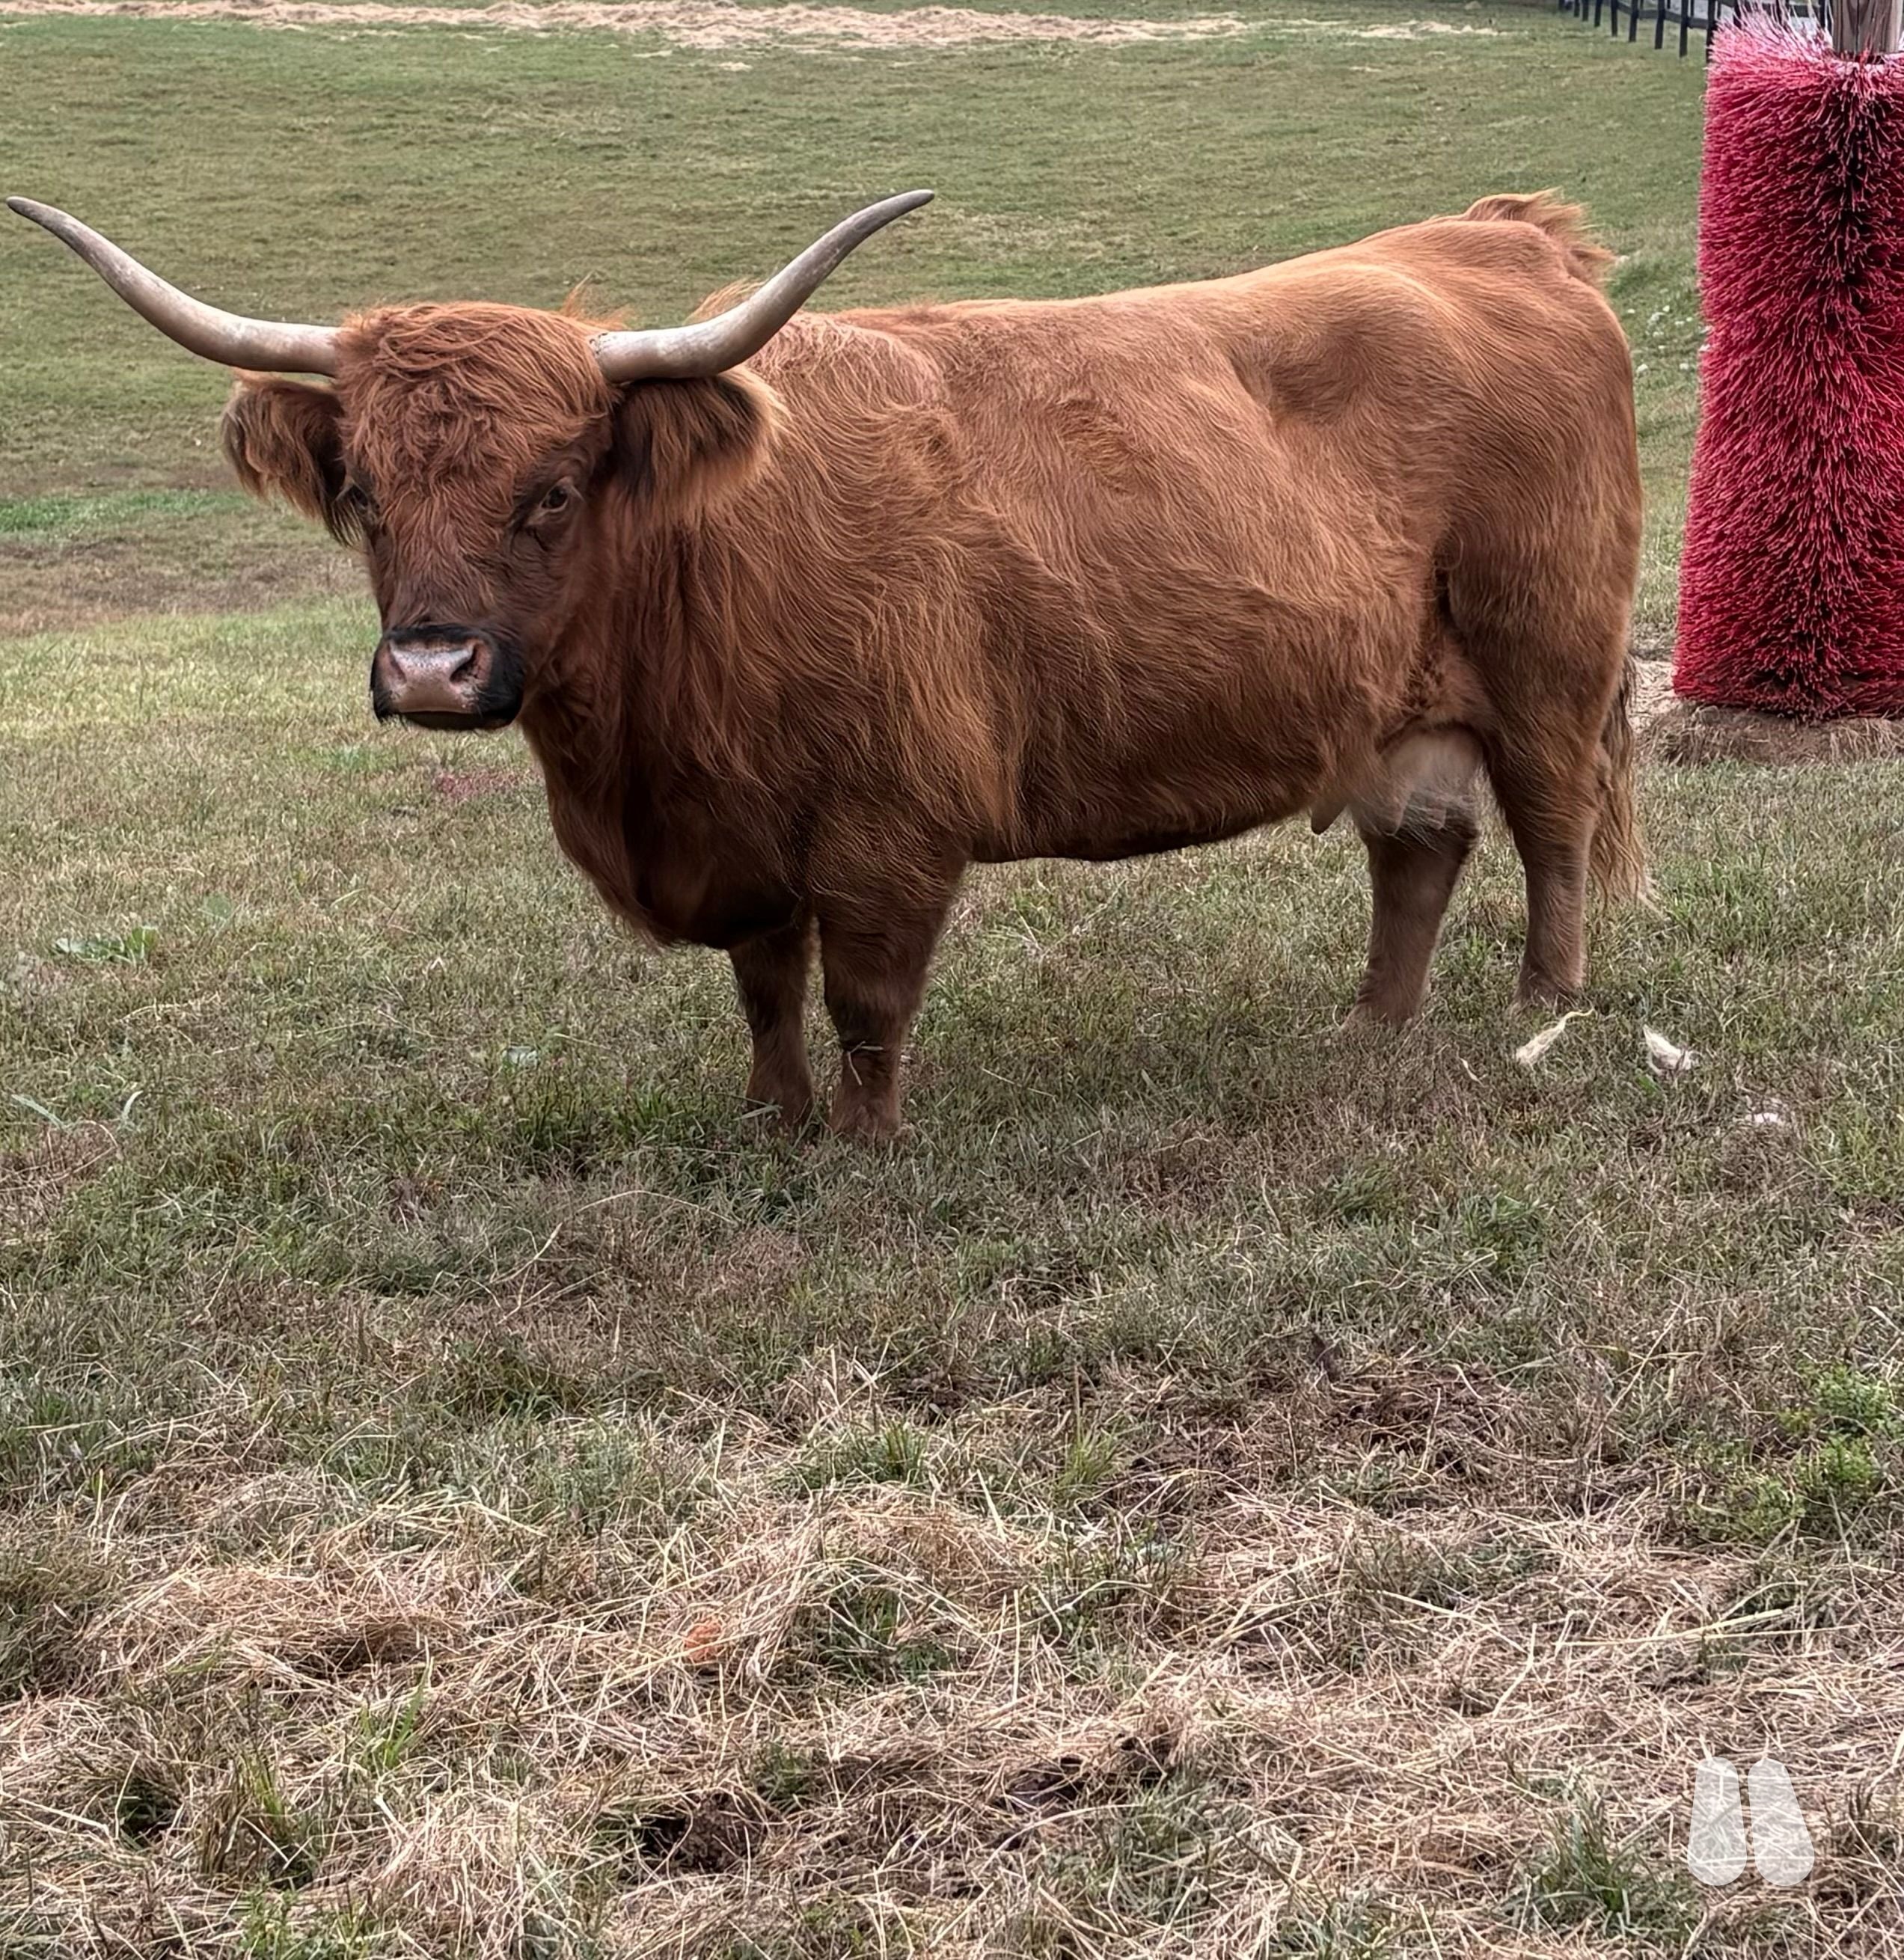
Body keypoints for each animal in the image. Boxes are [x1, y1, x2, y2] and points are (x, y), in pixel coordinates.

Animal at [10, 189, 1645, 1142]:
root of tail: (1498, 233)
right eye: (363, 493)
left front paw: (861, 1145)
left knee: (1552, 833)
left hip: (1548, 660)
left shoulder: (889, 827)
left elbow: (866, 995)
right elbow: (764, 987)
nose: (428, 666)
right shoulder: (740, 840)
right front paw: (768, 1120)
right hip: (1395, 703)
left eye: (555, 489)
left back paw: (1541, 1010)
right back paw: (1371, 1027)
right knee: (1418, 852)